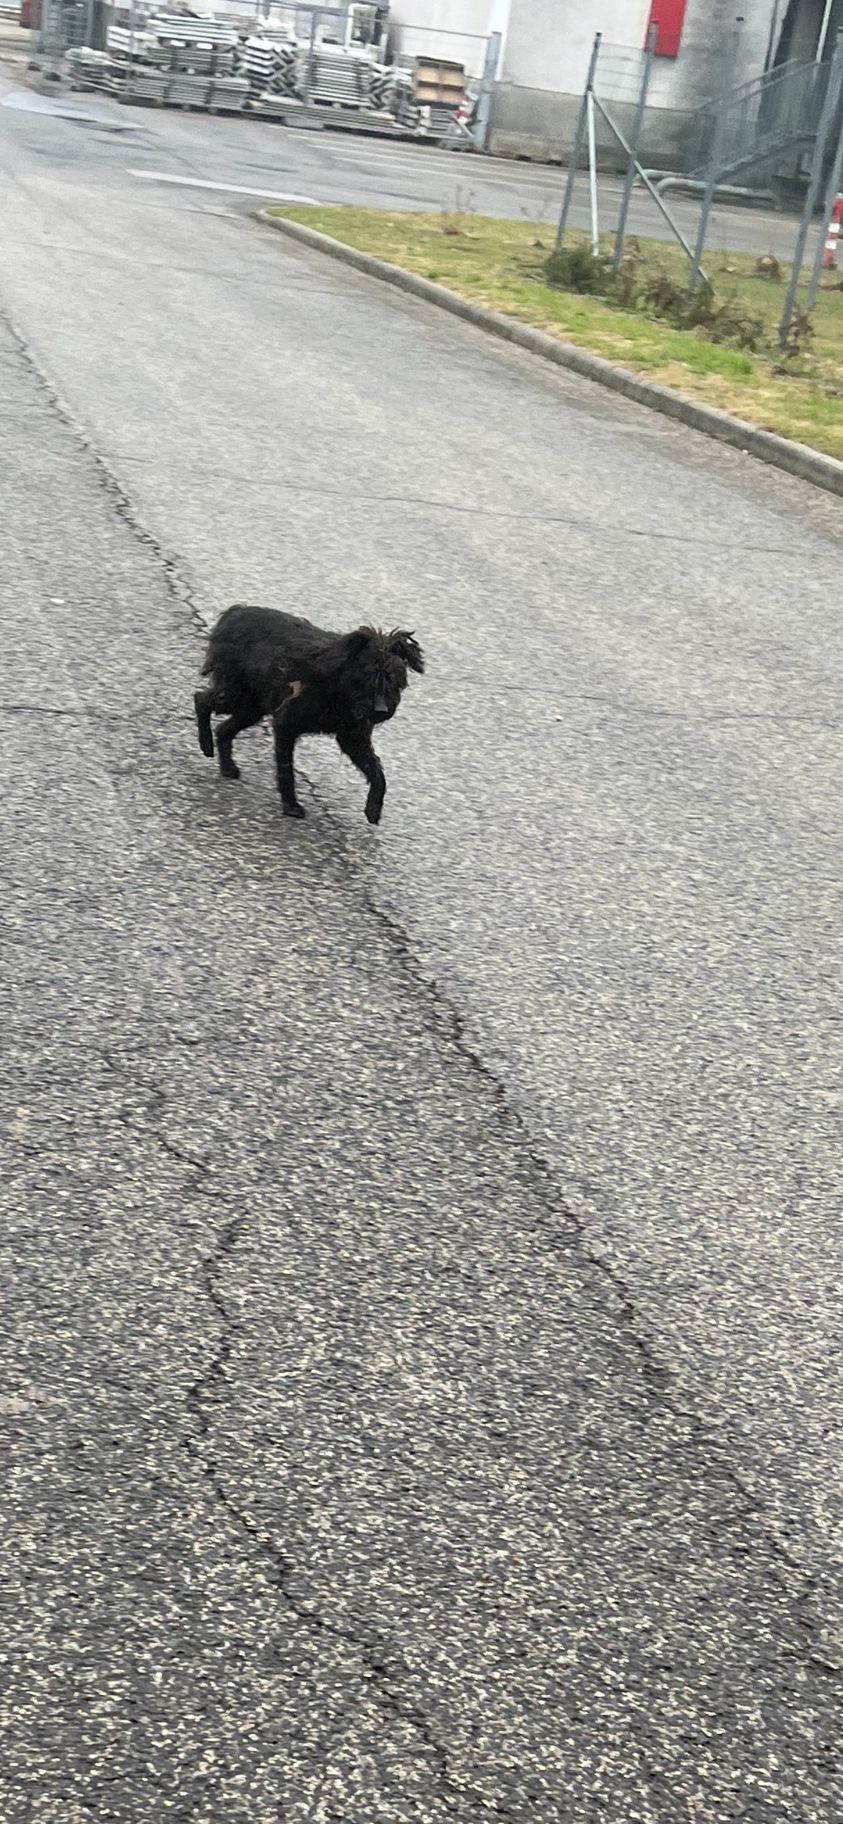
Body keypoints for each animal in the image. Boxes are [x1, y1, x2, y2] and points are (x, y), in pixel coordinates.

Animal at [195, 601, 425, 824]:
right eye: (367, 678)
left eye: (394, 681)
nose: (381, 710)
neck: (339, 686)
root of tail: (234, 613)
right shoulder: (286, 724)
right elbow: (286, 768)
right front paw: (291, 805)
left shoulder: (353, 739)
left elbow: (377, 773)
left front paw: (373, 808)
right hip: (235, 695)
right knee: (200, 700)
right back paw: (206, 744)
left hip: (251, 708)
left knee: (223, 728)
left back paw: (227, 766)